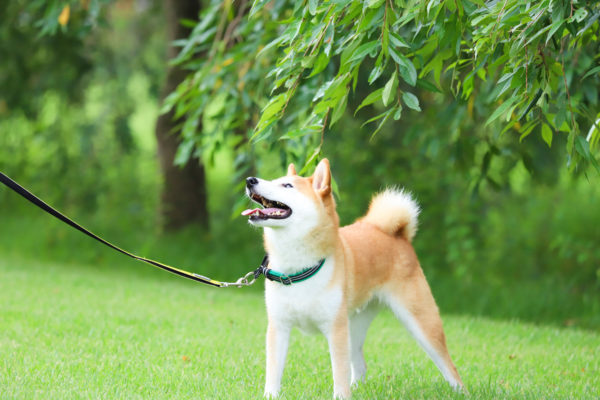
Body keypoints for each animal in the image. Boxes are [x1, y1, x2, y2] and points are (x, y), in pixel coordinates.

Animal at [241, 159, 462, 396]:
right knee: (360, 365)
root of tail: (397, 235)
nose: (250, 180)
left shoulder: (335, 329)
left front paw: (341, 396)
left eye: (287, 185)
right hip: (354, 326)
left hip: (420, 322)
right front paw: (269, 396)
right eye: (275, 180)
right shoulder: (278, 327)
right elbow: (273, 374)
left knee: (450, 367)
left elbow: (339, 374)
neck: (297, 267)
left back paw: (461, 391)